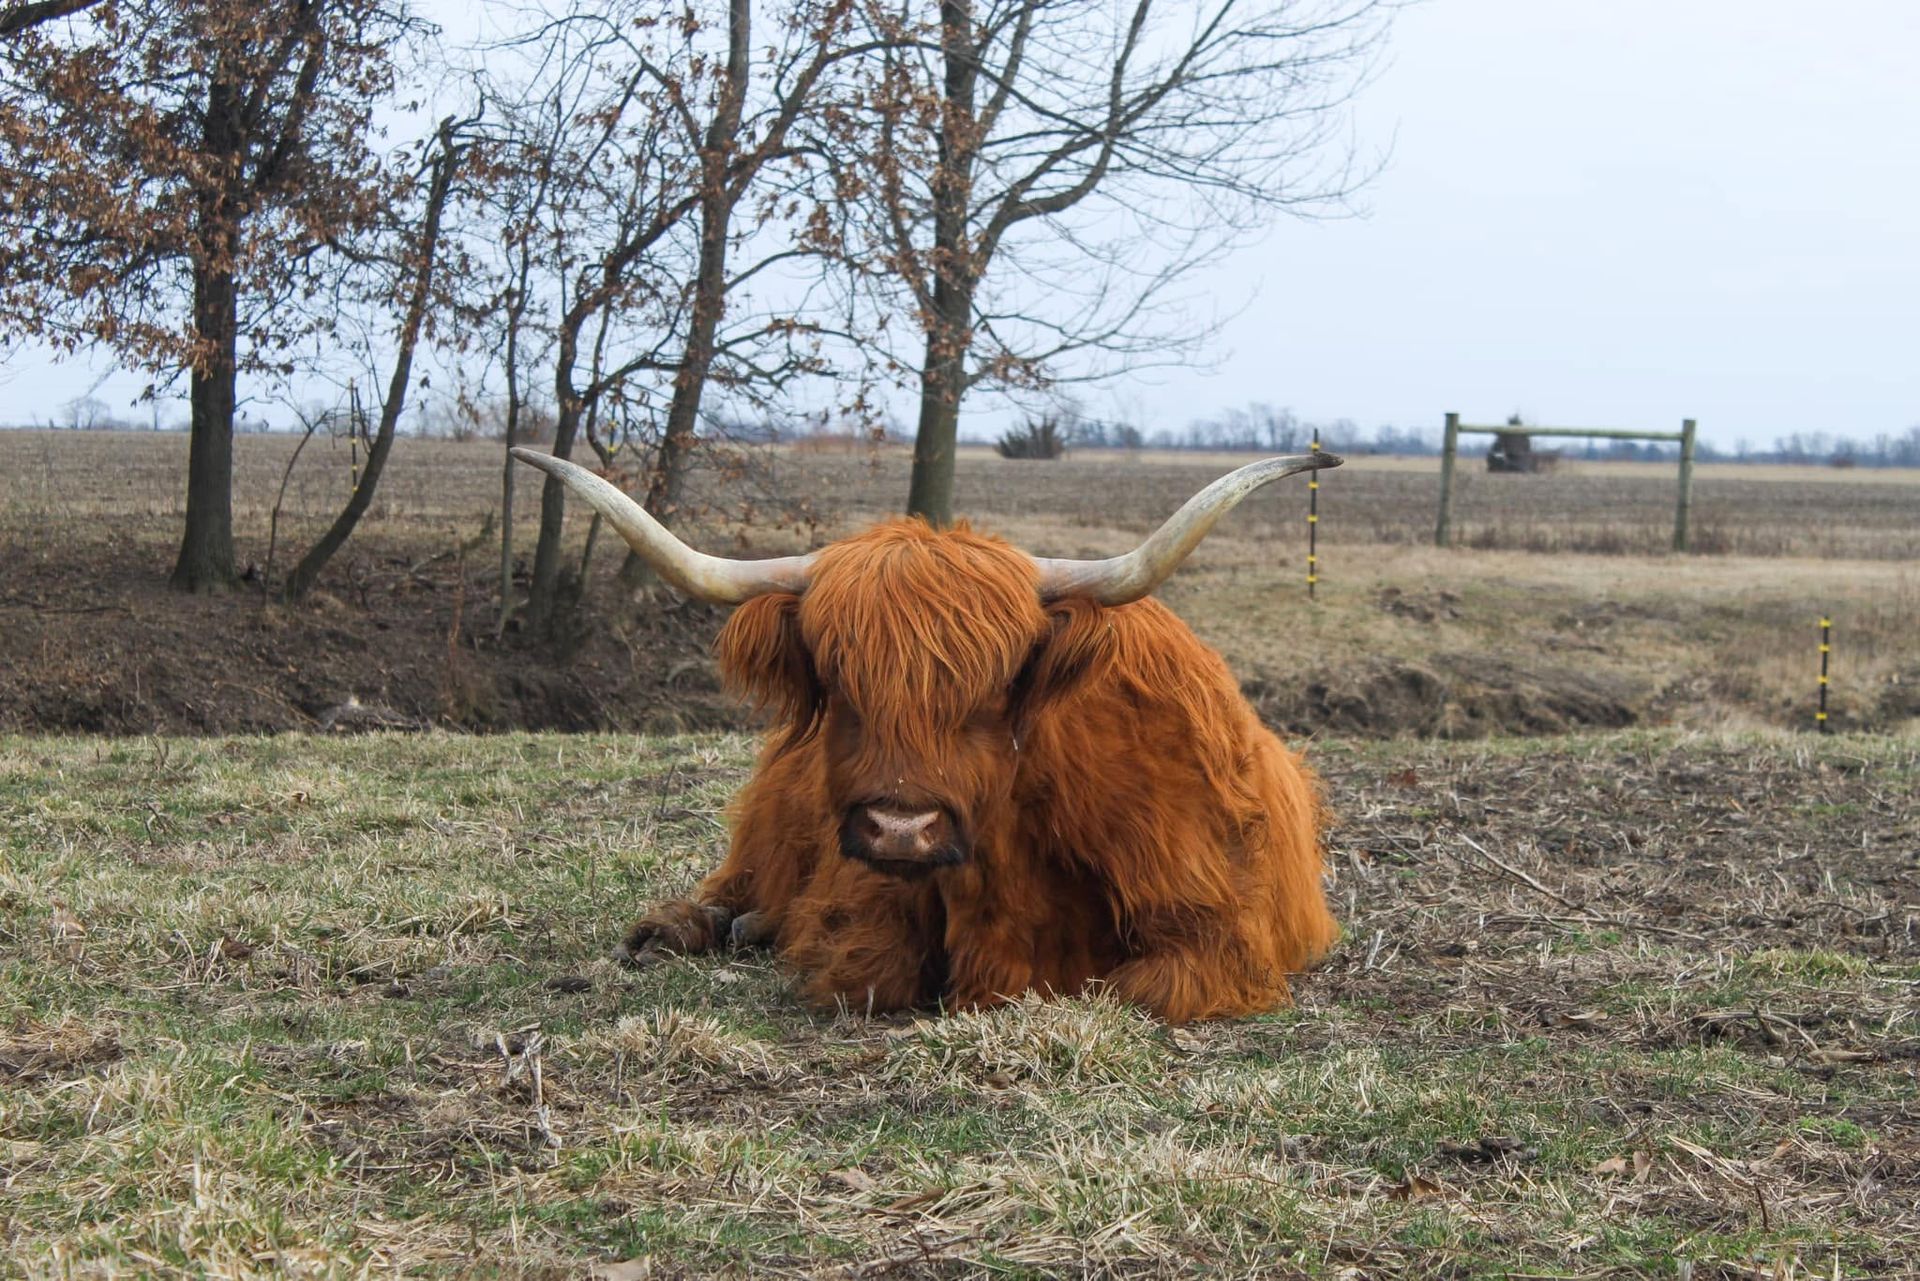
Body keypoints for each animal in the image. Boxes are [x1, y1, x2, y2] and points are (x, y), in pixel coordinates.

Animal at [513, 447, 1343, 1023]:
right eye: (839, 679)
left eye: (998, 685)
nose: (900, 826)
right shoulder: (860, 903)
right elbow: (867, 965)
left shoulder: (1219, 937)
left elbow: (1130, 986)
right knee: (724, 892)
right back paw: (686, 927)